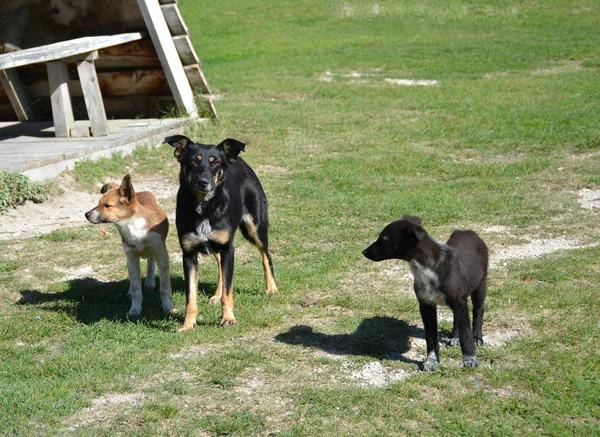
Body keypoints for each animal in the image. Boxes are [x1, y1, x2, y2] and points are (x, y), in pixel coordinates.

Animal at [85, 174, 173, 316]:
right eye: (98, 203)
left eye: (107, 205)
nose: (86, 214)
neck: (132, 225)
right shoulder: (131, 257)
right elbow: (136, 288)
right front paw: (135, 310)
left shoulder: (162, 255)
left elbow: (165, 287)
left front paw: (168, 307)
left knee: (150, 262)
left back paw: (150, 282)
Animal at [163, 135, 278, 328]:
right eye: (194, 160)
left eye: (215, 162)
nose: (203, 182)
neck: (203, 206)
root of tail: (239, 160)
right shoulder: (189, 254)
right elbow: (191, 296)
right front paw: (188, 324)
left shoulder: (228, 249)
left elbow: (228, 291)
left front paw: (228, 318)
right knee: (220, 267)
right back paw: (216, 295)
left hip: (255, 227)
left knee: (265, 256)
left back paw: (272, 288)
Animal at [360, 214, 488, 368]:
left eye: (384, 238)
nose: (364, 252)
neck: (428, 268)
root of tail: (468, 232)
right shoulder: (427, 304)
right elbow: (431, 337)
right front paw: (431, 362)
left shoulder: (458, 301)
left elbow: (466, 334)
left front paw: (470, 359)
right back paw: (455, 337)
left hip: (480, 284)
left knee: (478, 310)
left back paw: (477, 337)